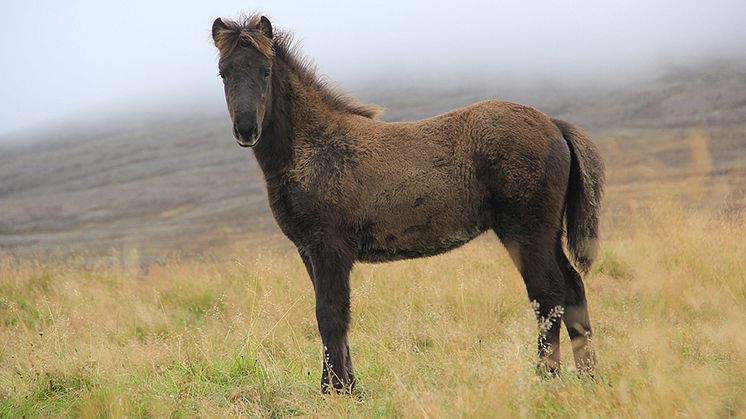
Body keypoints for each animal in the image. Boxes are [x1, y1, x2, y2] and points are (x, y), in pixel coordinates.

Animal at [211, 14, 604, 396]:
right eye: (223, 73)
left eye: (265, 71)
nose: (245, 129)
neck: (315, 145)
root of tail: (554, 124)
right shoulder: (308, 250)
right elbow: (335, 314)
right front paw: (348, 387)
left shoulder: (329, 248)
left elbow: (330, 314)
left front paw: (334, 391)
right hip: (548, 234)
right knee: (572, 289)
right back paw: (589, 377)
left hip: (526, 232)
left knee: (547, 294)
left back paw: (546, 377)